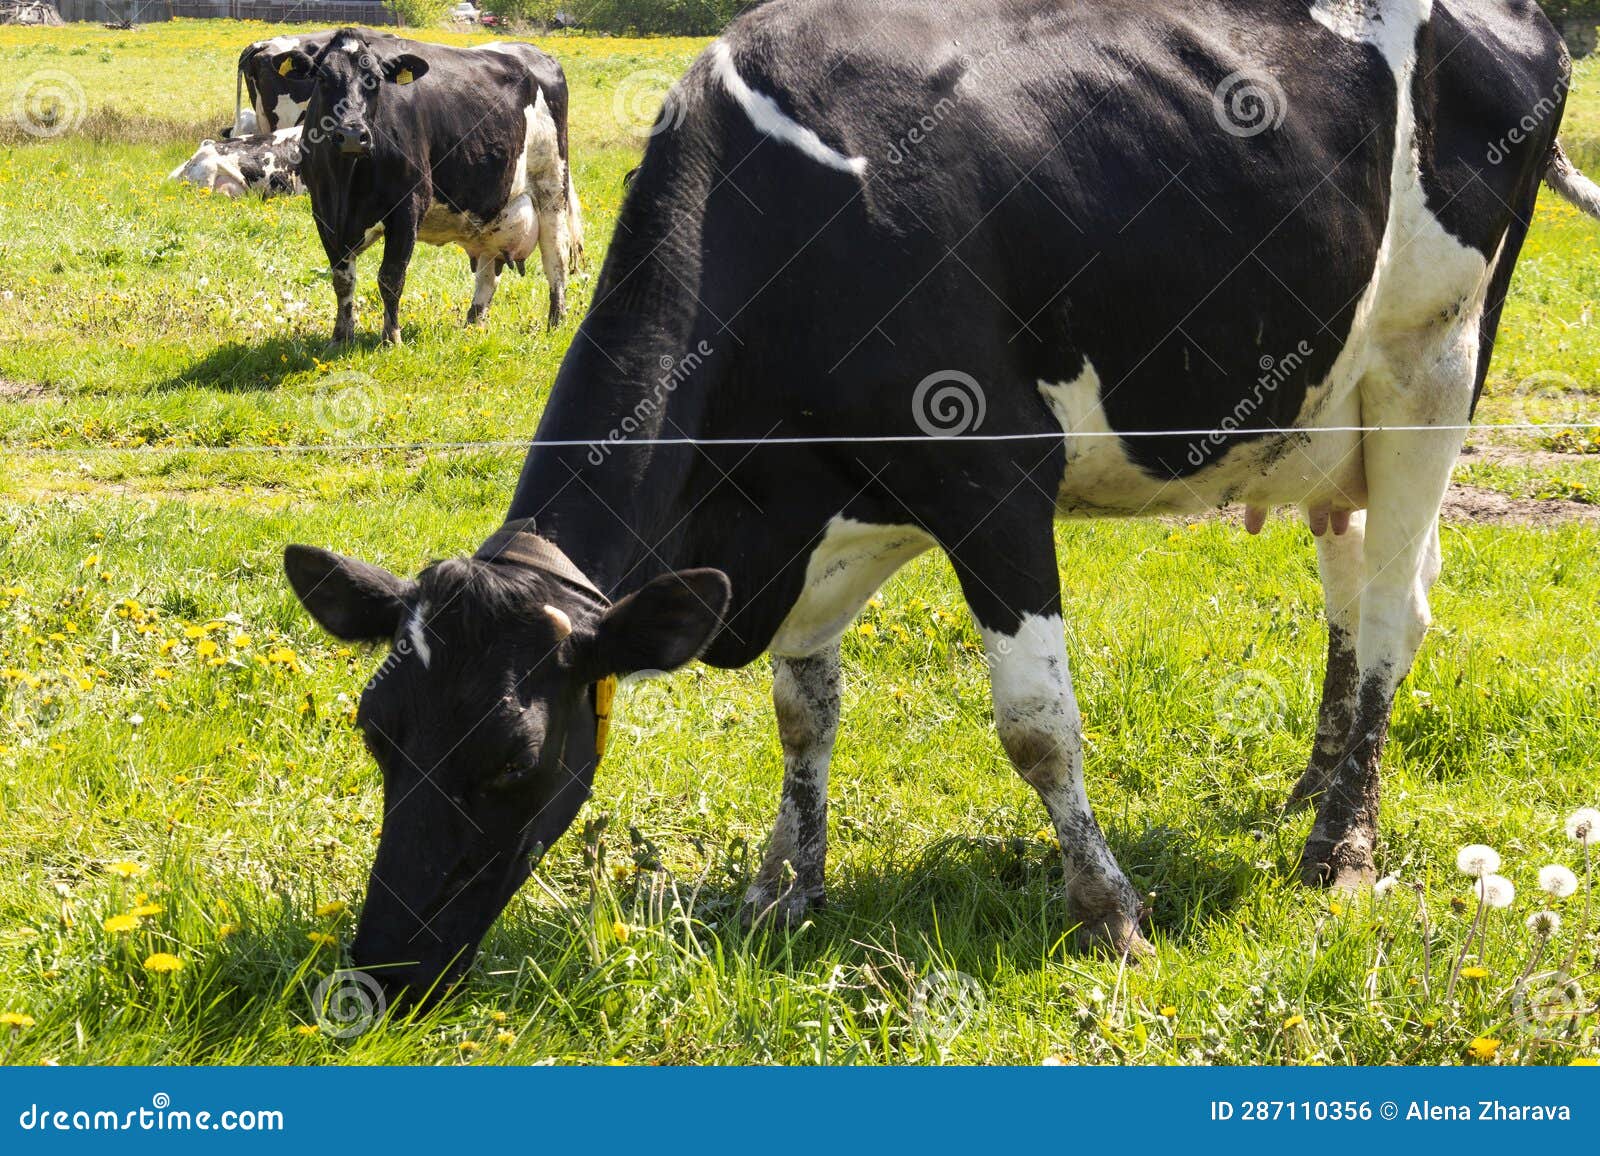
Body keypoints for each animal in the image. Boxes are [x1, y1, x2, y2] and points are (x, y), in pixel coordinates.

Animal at [274, 29, 580, 342]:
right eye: (322, 78)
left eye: (375, 80)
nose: (351, 134)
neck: (346, 184)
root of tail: (535, 52)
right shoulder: (324, 211)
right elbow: (342, 278)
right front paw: (341, 336)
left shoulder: (408, 206)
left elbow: (391, 276)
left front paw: (391, 337)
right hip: (494, 212)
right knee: (488, 273)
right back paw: (473, 325)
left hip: (551, 186)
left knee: (556, 258)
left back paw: (556, 322)